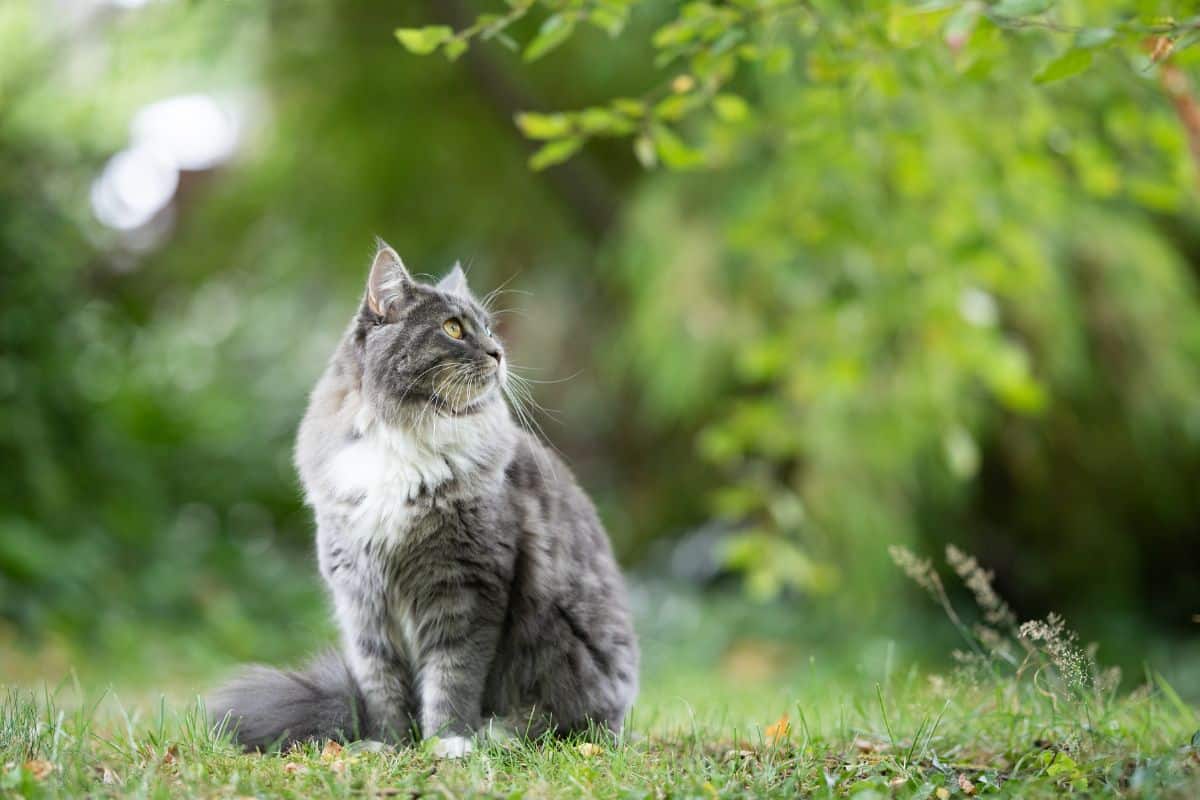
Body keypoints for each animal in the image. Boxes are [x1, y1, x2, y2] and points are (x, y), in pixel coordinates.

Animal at [208, 242, 638, 758]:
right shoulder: (362, 597)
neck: (402, 435)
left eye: (488, 328)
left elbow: (452, 676)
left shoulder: (464, 585)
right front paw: (389, 746)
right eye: (453, 328)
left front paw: (447, 742)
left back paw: (500, 733)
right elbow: (381, 683)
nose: (499, 353)